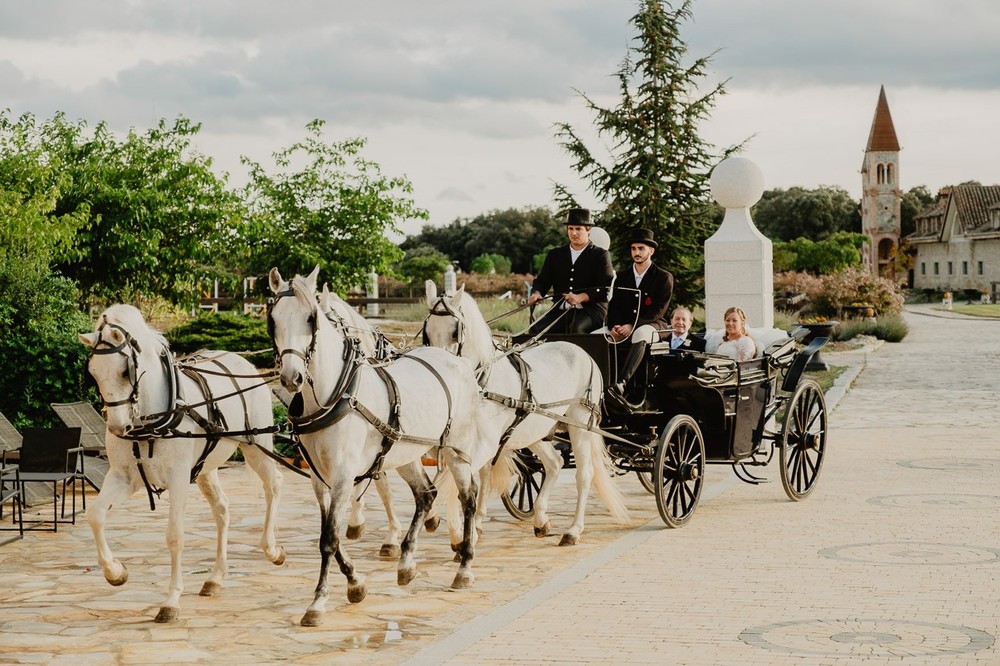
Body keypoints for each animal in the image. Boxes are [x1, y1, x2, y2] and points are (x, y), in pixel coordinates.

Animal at [79, 304, 284, 624]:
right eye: (93, 373)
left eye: (125, 371)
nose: (117, 427)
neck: (149, 418)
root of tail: (242, 362)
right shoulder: (123, 477)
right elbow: (96, 515)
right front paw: (115, 572)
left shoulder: (177, 479)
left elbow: (175, 536)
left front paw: (171, 601)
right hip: (205, 468)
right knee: (222, 509)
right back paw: (215, 577)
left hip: (257, 446)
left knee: (273, 485)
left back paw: (272, 549)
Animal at [268, 268, 498, 624]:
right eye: (273, 319)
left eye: (310, 318)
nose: (292, 377)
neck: (335, 393)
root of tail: (455, 362)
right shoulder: (321, 479)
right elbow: (330, 534)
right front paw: (355, 583)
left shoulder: (343, 475)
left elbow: (329, 538)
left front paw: (318, 602)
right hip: (406, 452)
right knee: (426, 494)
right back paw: (406, 563)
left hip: (456, 449)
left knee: (469, 495)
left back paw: (465, 564)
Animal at [424, 282, 628, 544]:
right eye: (427, 332)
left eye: (454, 332)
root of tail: (583, 352)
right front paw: (452, 522)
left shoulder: (484, 444)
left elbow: (459, 479)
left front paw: (459, 532)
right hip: (534, 430)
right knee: (554, 463)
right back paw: (541, 519)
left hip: (580, 424)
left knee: (584, 474)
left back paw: (573, 530)